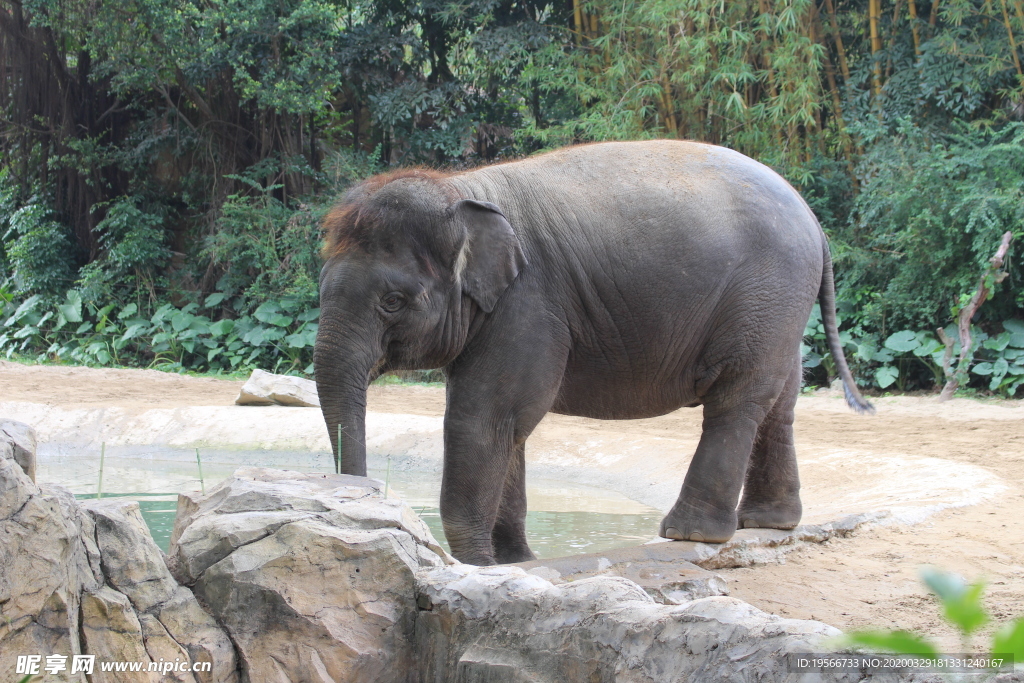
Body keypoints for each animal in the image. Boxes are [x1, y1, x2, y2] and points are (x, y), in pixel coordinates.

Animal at [313, 139, 872, 565]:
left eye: (392, 301)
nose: (363, 493)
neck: (463, 188)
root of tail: (816, 226)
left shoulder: (528, 302)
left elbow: (483, 418)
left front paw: (479, 566)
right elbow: (511, 426)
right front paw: (515, 562)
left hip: (764, 295)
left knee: (736, 400)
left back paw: (691, 534)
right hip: (781, 309)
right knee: (780, 401)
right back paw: (768, 523)